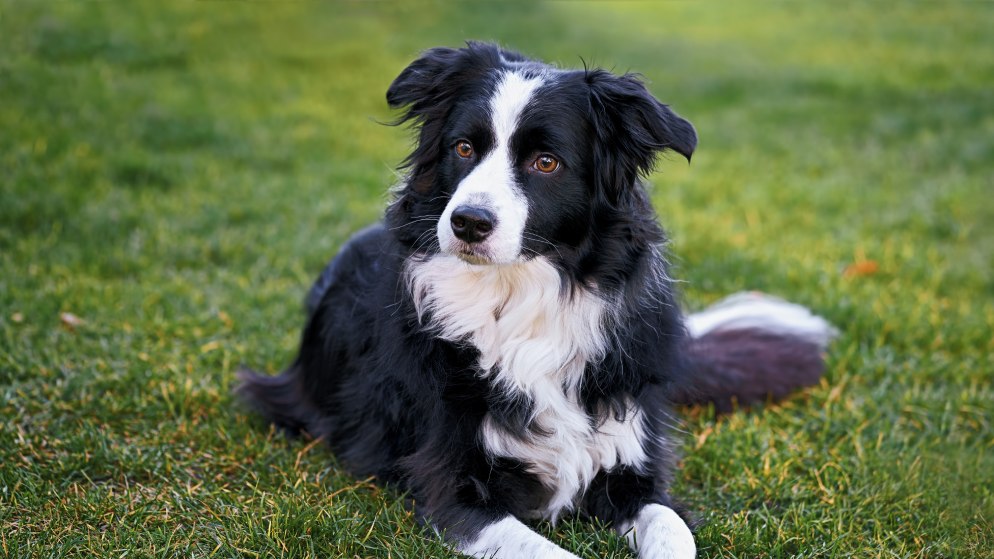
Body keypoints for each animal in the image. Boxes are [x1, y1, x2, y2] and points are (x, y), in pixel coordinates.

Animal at [236, 41, 832, 556]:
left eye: (546, 162)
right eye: (463, 148)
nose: (468, 223)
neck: (521, 299)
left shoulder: (632, 465)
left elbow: (672, 529)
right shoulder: (453, 485)